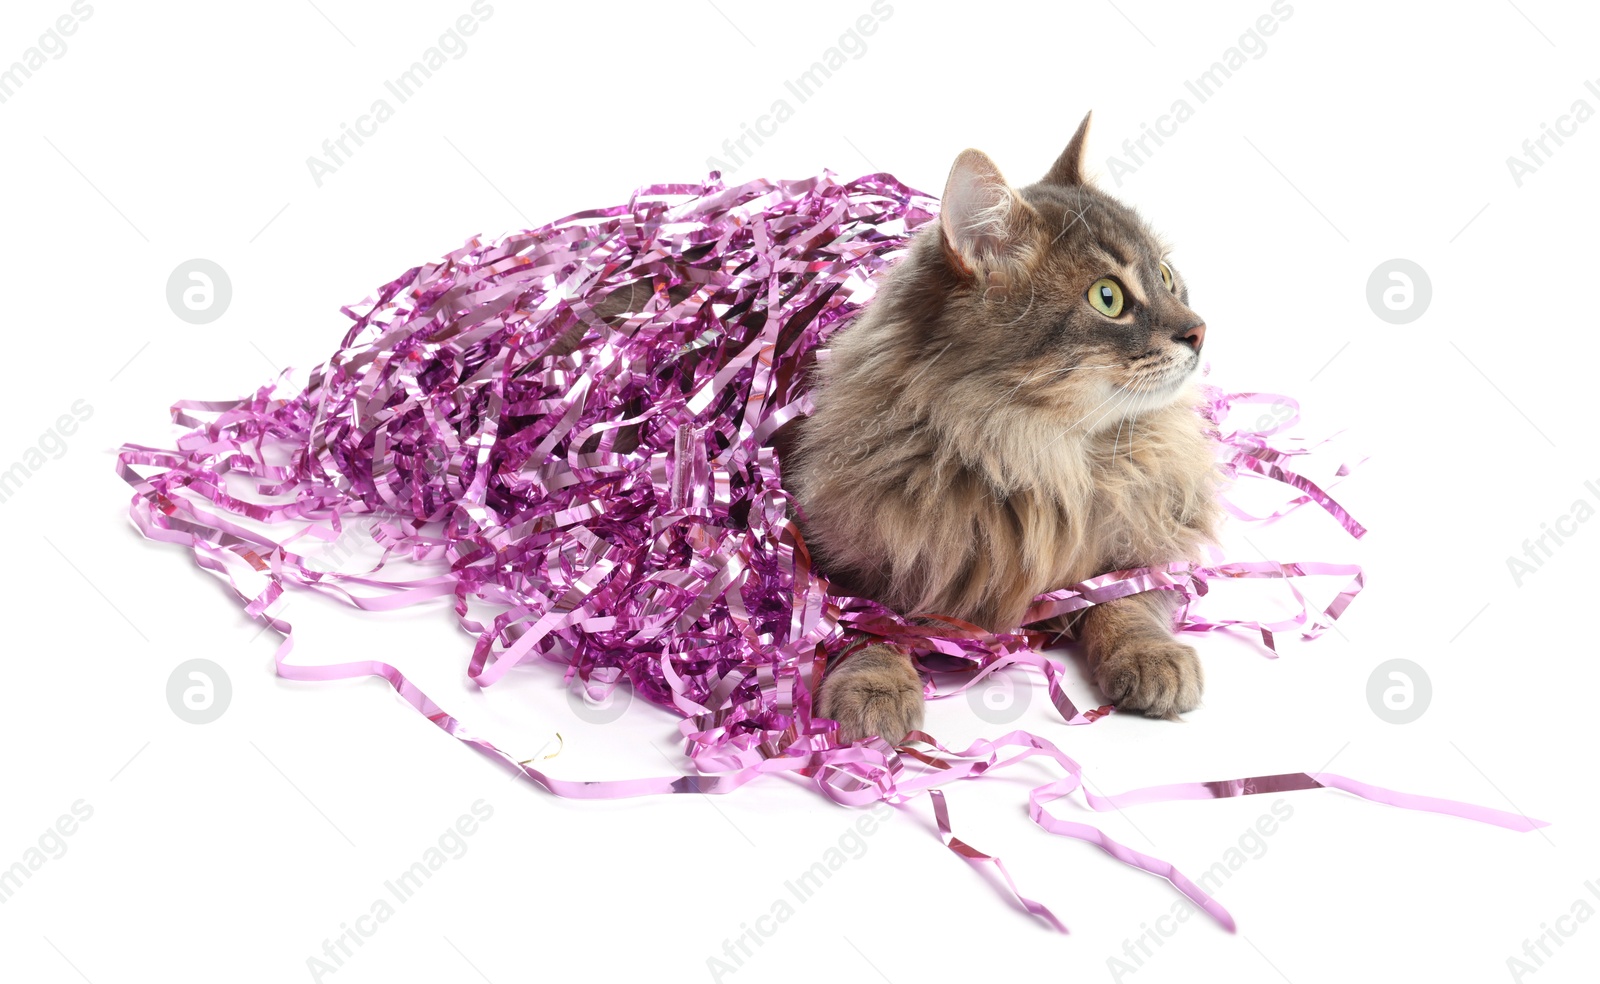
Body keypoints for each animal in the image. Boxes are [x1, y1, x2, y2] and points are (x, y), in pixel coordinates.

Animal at [780, 113, 1216, 745]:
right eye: (1107, 298)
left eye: (1164, 274)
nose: (1200, 331)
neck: (1037, 455)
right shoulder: (830, 557)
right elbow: (868, 628)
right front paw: (875, 688)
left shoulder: (1131, 532)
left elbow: (1125, 599)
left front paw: (1150, 655)